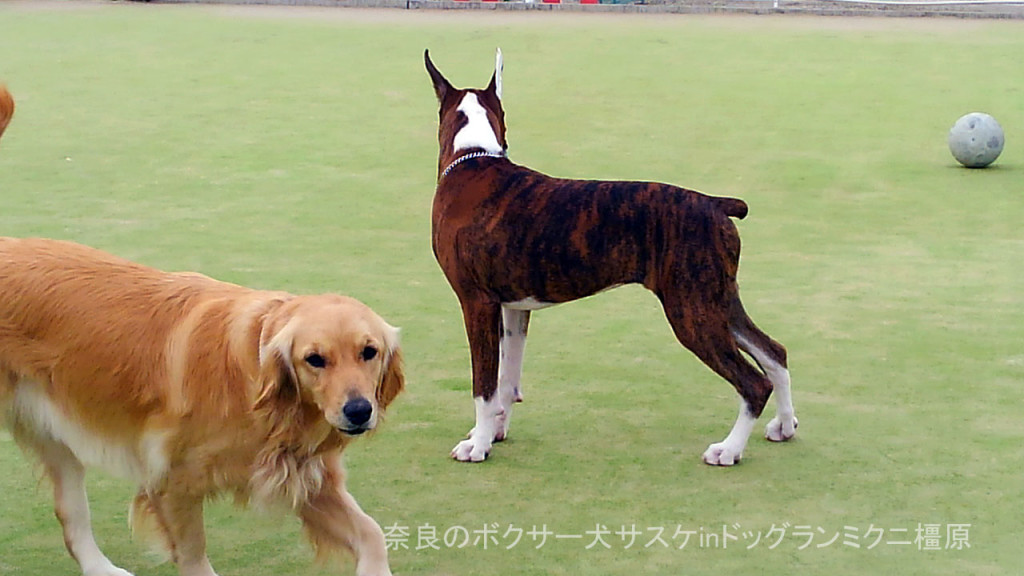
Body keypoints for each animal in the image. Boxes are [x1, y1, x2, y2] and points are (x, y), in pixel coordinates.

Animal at [428, 47, 794, 463]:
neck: (473, 157)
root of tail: (715, 203)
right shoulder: (514, 309)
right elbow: (507, 379)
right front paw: (495, 431)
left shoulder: (477, 303)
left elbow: (484, 386)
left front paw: (478, 445)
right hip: (716, 301)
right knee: (774, 353)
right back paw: (784, 426)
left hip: (691, 311)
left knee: (753, 382)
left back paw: (729, 449)